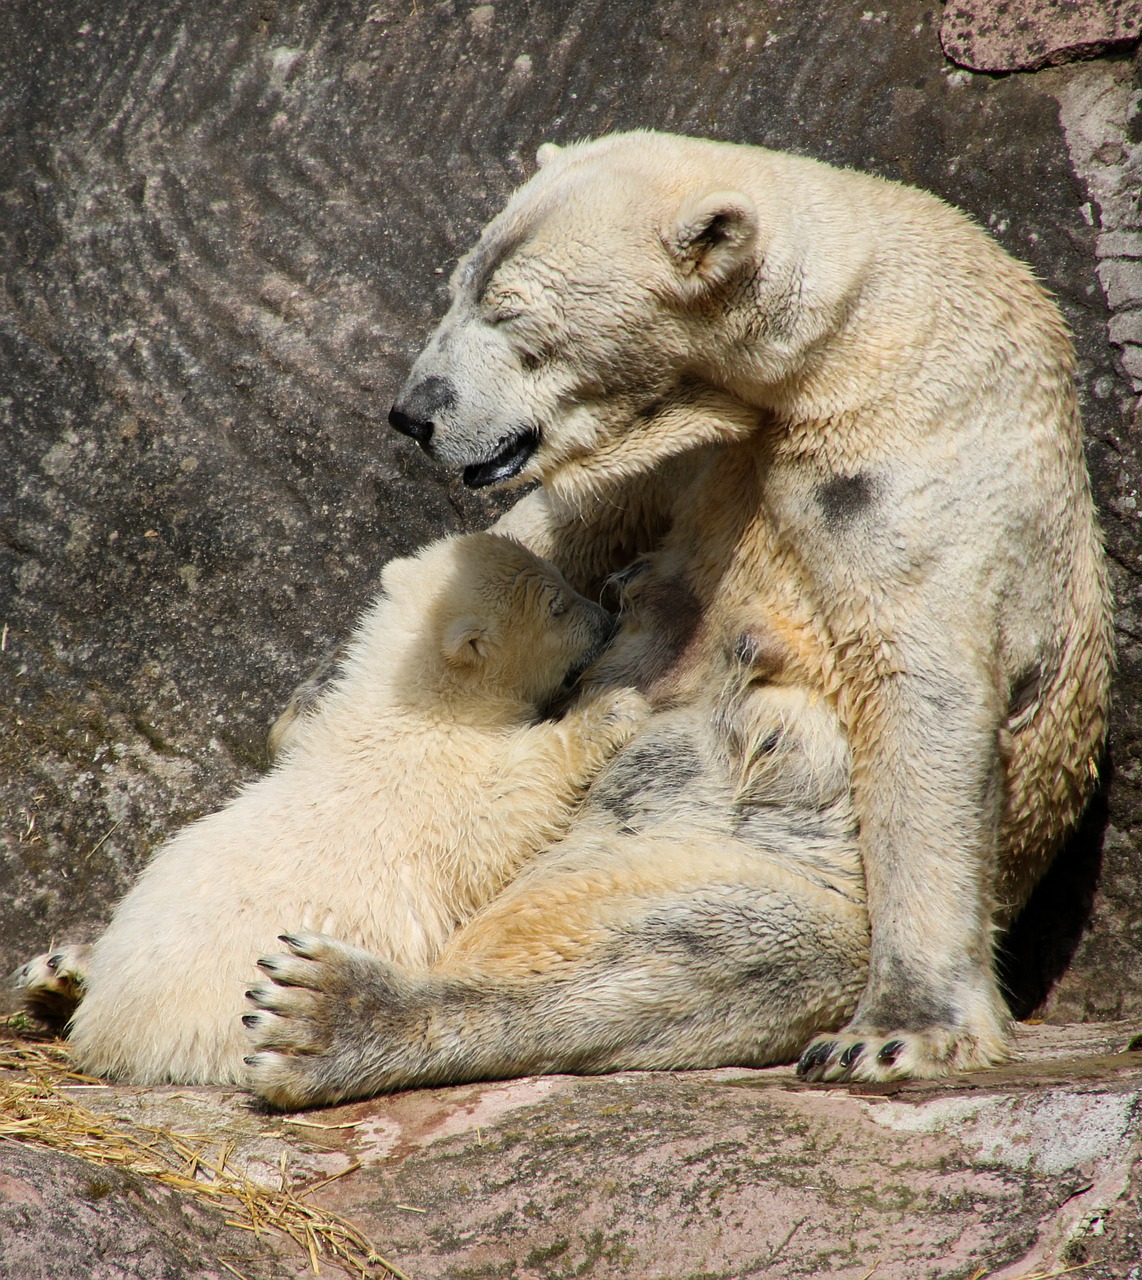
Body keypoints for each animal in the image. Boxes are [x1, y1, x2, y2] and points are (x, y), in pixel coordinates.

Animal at [252, 127, 1116, 1090]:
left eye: (512, 315)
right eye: (457, 289)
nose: (414, 413)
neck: (841, 344)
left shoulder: (917, 451)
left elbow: (922, 691)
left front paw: (899, 1029)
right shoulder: (703, 451)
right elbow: (578, 512)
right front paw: (321, 694)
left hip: (733, 856)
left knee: (692, 950)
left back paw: (327, 1011)